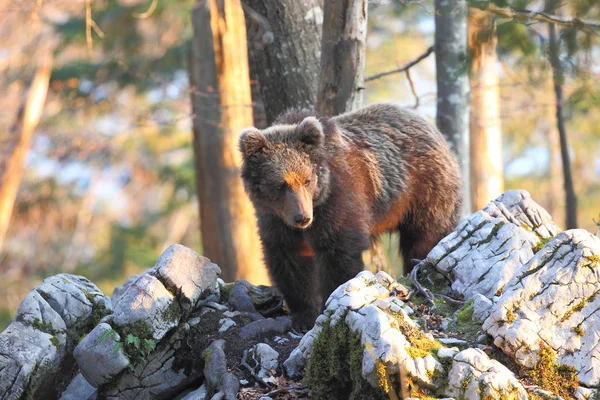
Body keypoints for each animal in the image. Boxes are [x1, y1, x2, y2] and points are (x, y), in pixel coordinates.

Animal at [237, 103, 462, 332]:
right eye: (281, 184)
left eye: (307, 180)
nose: (303, 218)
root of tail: (433, 130)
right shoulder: (276, 219)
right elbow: (289, 262)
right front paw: (303, 316)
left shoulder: (338, 200)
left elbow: (338, 253)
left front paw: (328, 303)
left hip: (423, 191)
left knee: (426, 237)